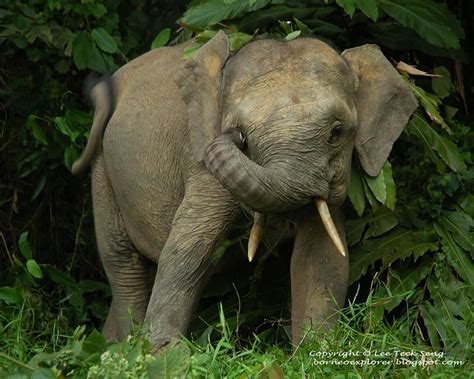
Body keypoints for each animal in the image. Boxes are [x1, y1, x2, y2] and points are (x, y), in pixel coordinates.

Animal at [72, 31, 416, 348]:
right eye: (243, 136)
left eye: (336, 132)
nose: (233, 136)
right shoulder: (201, 162)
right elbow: (189, 244)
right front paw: (161, 354)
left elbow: (321, 254)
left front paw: (315, 350)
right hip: (103, 169)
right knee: (123, 262)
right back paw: (124, 346)